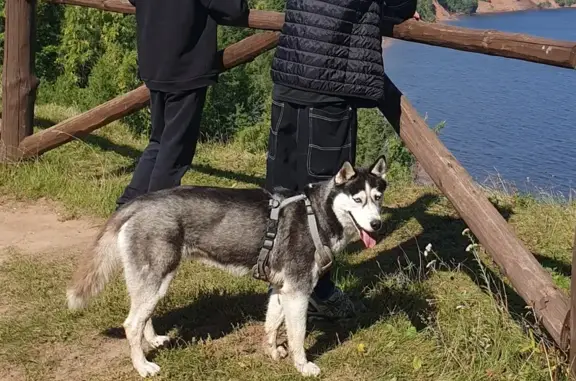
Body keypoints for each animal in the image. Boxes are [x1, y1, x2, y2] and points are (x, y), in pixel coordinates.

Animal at [67, 155, 390, 378]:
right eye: (357, 199)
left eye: (377, 198)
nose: (377, 224)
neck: (317, 214)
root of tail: (139, 202)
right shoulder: (298, 291)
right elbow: (297, 335)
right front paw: (303, 366)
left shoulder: (281, 289)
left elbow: (272, 325)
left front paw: (273, 352)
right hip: (156, 278)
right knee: (130, 324)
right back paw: (143, 366)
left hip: (156, 282)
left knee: (142, 317)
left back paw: (154, 339)